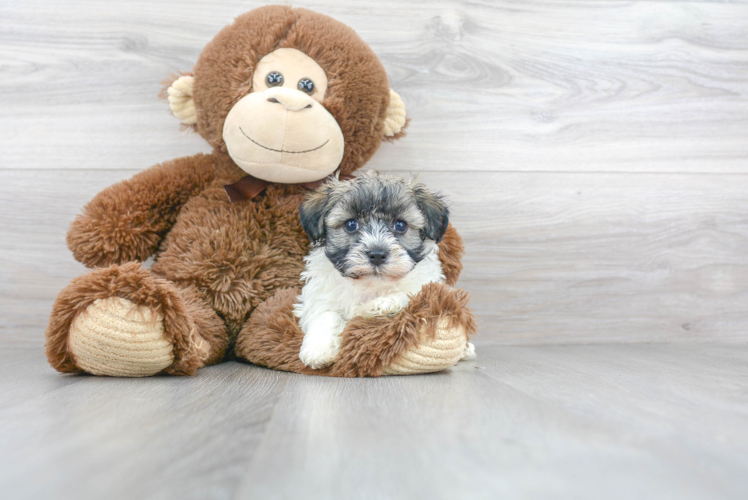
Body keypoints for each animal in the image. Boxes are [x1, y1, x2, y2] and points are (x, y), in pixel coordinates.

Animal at [296, 170, 476, 370]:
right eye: (351, 224)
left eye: (400, 225)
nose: (377, 254)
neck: (371, 284)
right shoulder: (319, 295)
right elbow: (325, 314)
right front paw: (318, 350)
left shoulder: (428, 287)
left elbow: (412, 296)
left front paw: (384, 304)